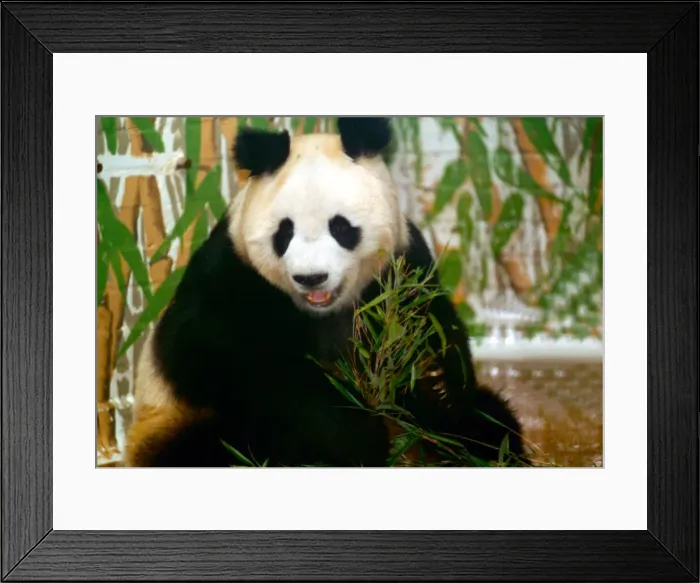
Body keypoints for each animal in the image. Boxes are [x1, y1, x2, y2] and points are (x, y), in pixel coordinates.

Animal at [124, 117, 526, 468]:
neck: (324, 310)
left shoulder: (401, 269)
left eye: (341, 227)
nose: (311, 277)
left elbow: (434, 332)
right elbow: (226, 363)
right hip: (170, 423)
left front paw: (432, 382)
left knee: (491, 422)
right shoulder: (229, 279)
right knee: (205, 446)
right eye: (284, 232)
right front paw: (356, 434)